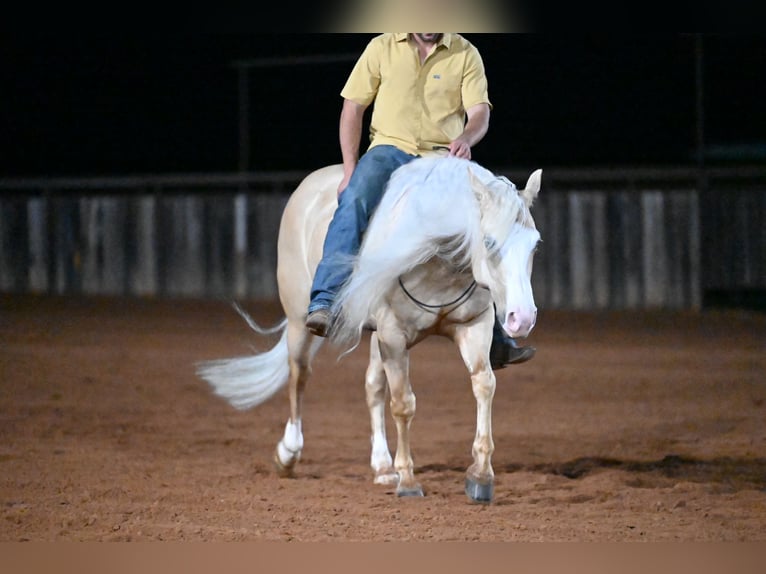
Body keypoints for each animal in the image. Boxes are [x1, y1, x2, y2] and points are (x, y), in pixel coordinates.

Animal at [196, 155, 542, 503]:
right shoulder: (393, 334)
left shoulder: (473, 325)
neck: (437, 257)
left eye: (536, 245)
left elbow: (484, 385)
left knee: (372, 386)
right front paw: (408, 481)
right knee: (299, 374)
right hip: (299, 319)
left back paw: (383, 467)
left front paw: (481, 477)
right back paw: (289, 454)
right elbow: (403, 403)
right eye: (488, 241)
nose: (522, 318)